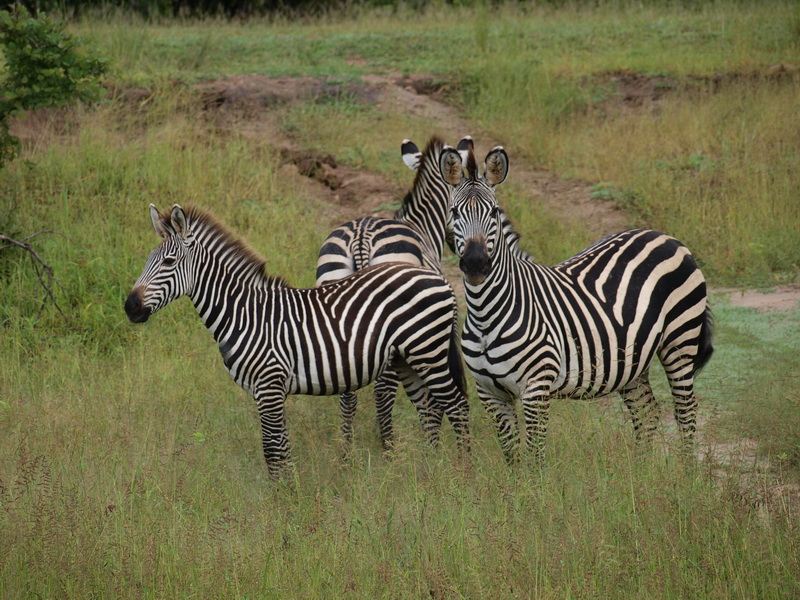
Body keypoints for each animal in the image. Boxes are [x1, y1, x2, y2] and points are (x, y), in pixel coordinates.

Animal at [125, 203, 468, 478]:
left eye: (169, 262)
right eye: (148, 260)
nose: (130, 307)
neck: (245, 313)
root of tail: (439, 280)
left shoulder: (269, 385)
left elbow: (271, 450)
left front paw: (283, 501)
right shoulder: (267, 390)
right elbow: (281, 447)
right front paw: (289, 494)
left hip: (428, 352)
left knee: (456, 406)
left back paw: (464, 473)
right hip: (407, 358)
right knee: (429, 409)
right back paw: (430, 469)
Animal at [316, 135, 460, 450]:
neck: (422, 227)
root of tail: (361, 237)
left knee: (347, 390)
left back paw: (347, 451)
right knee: (383, 389)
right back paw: (388, 448)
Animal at [438, 144, 712, 464]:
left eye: (493, 212)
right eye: (454, 212)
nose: (475, 264)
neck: (485, 314)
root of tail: (664, 235)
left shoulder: (536, 388)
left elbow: (536, 456)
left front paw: (536, 479)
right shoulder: (490, 394)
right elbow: (512, 457)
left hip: (680, 340)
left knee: (685, 411)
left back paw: (687, 471)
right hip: (633, 360)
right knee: (647, 413)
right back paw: (641, 471)